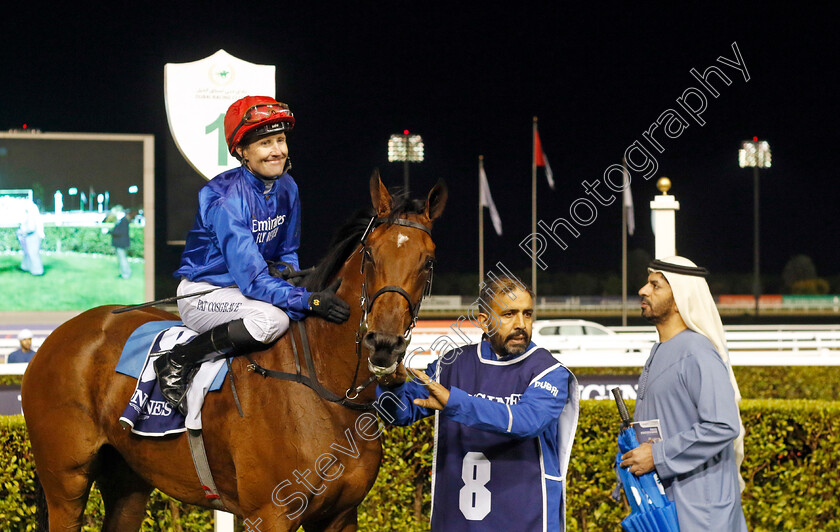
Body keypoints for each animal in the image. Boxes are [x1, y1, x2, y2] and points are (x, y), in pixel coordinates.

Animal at [19, 172, 446, 528]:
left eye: (428, 261)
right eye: (370, 254)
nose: (384, 343)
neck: (326, 390)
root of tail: (58, 335)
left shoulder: (340, 516)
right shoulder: (271, 512)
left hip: (129, 480)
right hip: (66, 482)